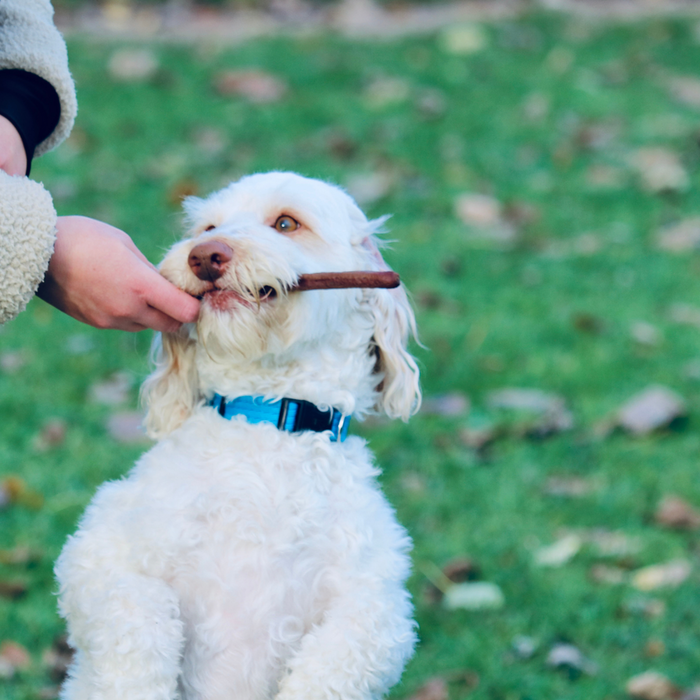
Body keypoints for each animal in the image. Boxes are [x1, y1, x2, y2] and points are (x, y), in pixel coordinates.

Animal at [54, 171, 422, 700]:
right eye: (208, 226)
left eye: (286, 223)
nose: (205, 255)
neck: (266, 421)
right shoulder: (99, 553)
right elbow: (138, 624)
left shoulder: (380, 607)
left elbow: (338, 659)